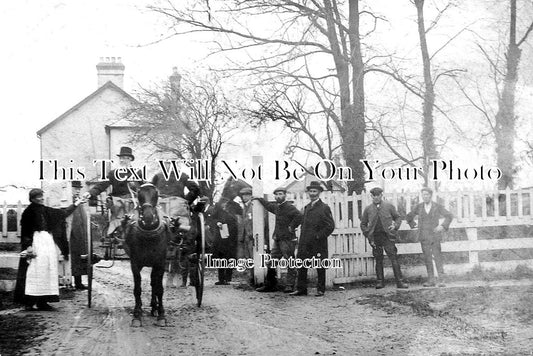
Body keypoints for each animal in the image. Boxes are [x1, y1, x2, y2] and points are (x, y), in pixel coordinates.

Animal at [120, 182, 168, 326]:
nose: (148, 217)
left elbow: (159, 289)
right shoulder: (135, 263)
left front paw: (161, 315)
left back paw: (154, 308)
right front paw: (137, 314)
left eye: (156, 194)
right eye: (139, 195)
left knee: (154, 283)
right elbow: (137, 289)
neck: (149, 235)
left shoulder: (160, 263)